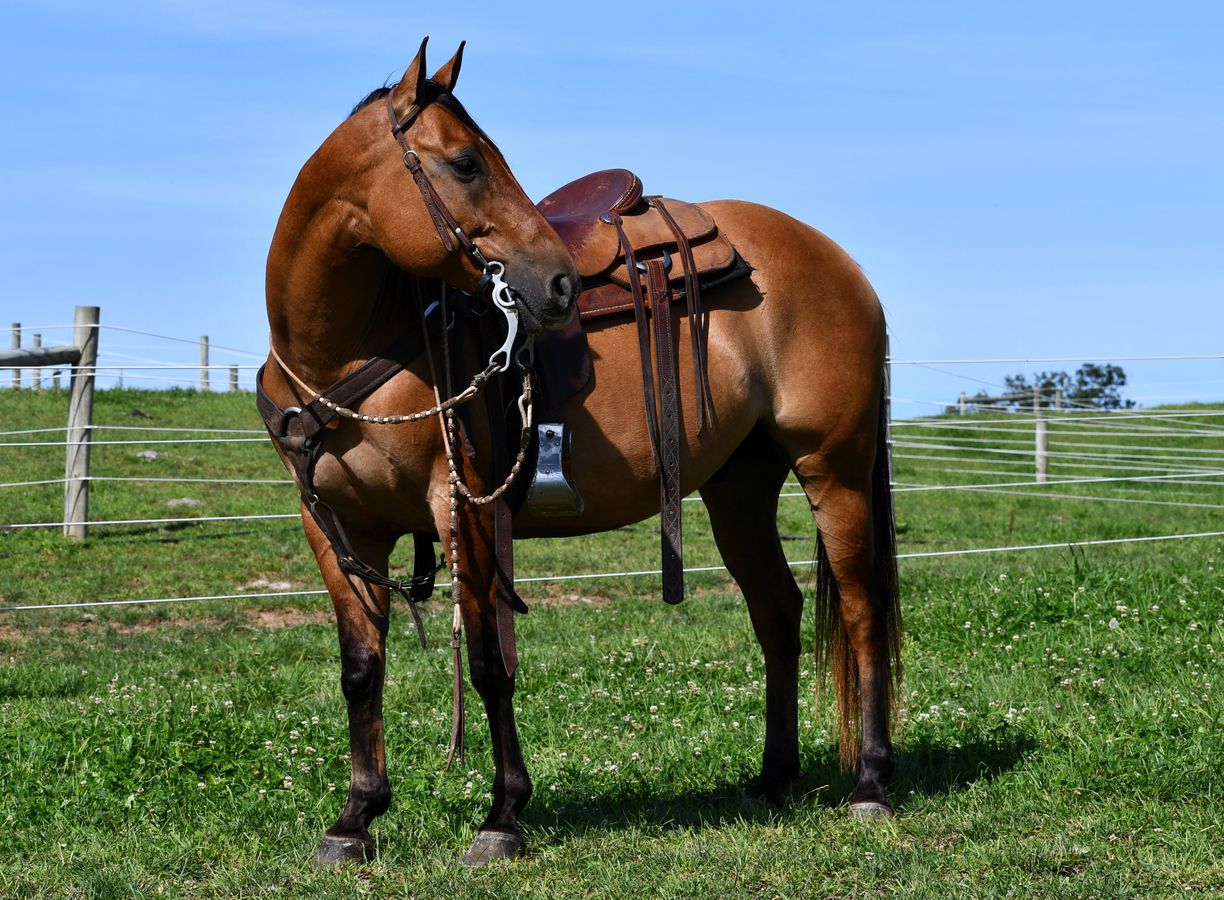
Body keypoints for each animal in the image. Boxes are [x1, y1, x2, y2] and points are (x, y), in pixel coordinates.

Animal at [260, 38, 901, 867]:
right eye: (466, 163)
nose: (559, 282)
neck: (350, 351)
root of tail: (841, 263)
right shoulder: (338, 527)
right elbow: (361, 669)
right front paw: (355, 818)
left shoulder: (464, 509)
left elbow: (490, 662)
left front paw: (502, 815)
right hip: (739, 487)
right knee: (777, 612)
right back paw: (771, 779)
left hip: (836, 468)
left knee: (860, 611)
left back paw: (872, 783)